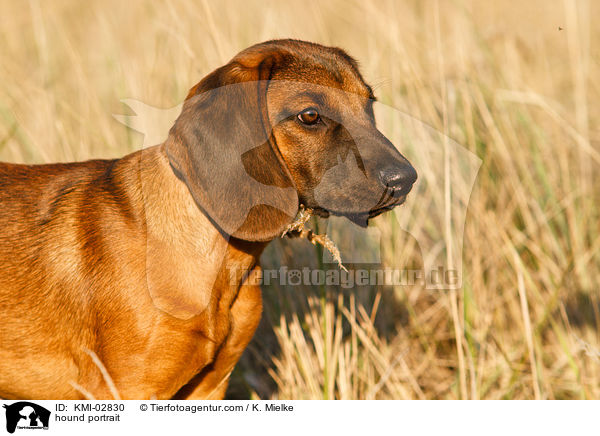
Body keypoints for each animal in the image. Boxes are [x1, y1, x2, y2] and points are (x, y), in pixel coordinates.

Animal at [0, 39, 418, 400]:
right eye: (310, 116)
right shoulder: (124, 389)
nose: (405, 180)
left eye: (369, 105)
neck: (221, 263)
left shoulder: (211, 386)